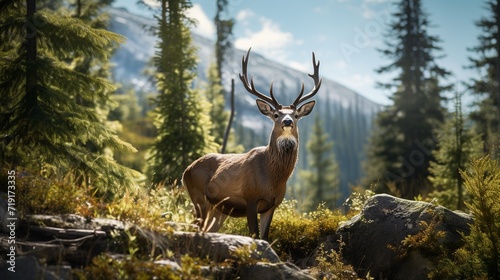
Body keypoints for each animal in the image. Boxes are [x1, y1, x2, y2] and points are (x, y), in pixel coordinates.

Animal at [182, 48, 322, 241]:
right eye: (276, 114)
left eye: (295, 115)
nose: (287, 122)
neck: (273, 177)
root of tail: (185, 171)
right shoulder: (250, 199)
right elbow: (254, 236)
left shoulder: (272, 205)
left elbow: (265, 237)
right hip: (198, 197)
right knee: (194, 226)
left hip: (219, 209)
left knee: (207, 229)